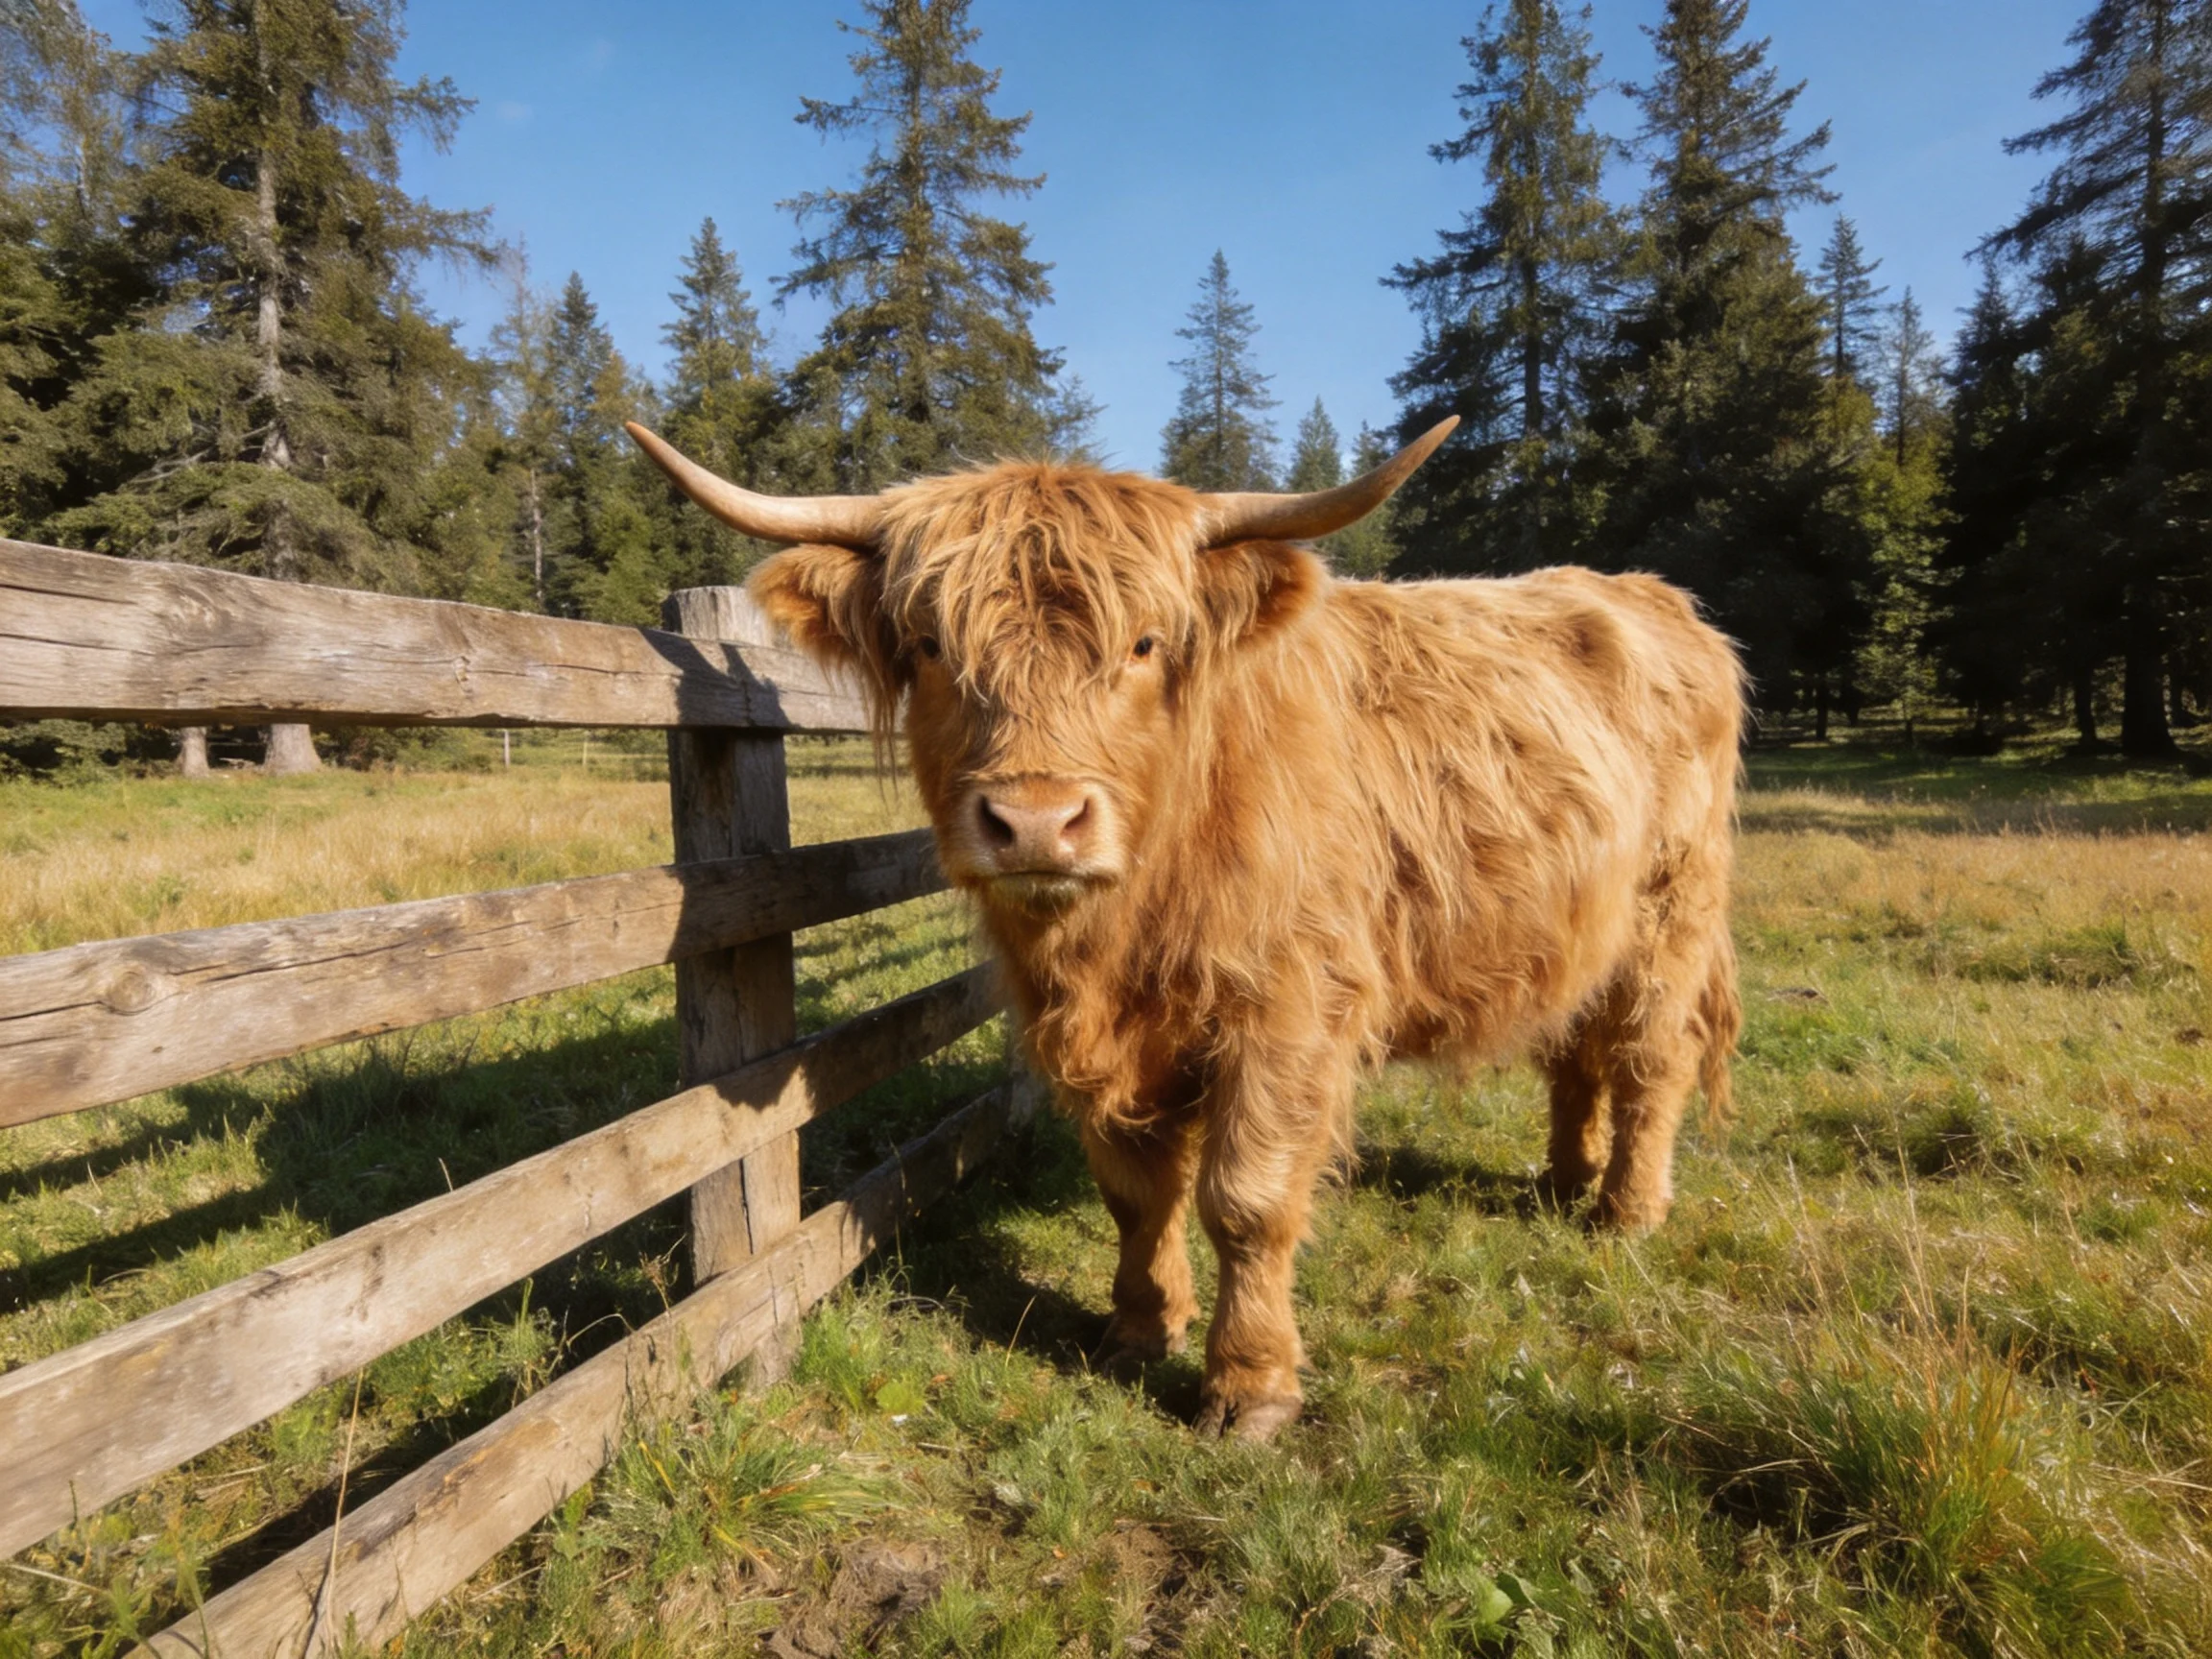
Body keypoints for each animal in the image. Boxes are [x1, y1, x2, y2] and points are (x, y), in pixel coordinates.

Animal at [627, 417, 1744, 1440]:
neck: (1125, 928)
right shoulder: (1094, 1030)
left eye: (1143, 645)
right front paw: (1137, 1328)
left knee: (1651, 1056)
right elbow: (1135, 1189)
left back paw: (1624, 1211)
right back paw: (1564, 1180)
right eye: (935, 647)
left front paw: (1248, 1387)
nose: (1037, 819)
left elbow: (1245, 1199)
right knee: (1576, 1048)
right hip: (1584, 928)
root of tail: (1657, 597)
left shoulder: (1289, 1008)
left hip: (1671, 912)